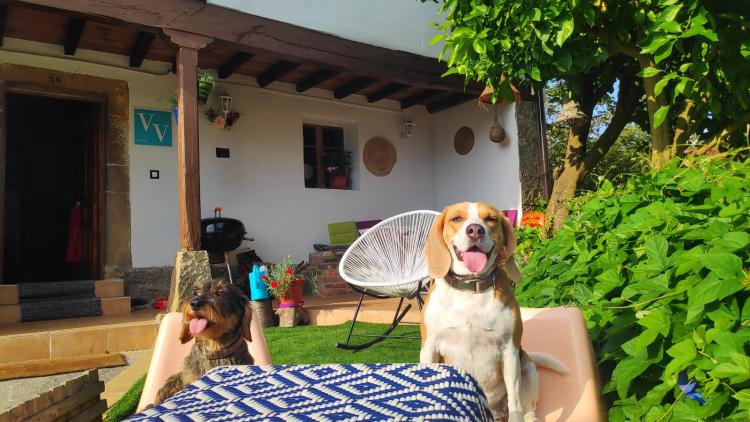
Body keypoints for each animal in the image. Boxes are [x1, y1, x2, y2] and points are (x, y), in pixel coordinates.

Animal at [420, 202, 568, 422]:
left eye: (491, 219)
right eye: (456, 219)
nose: (475, 230)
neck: (471, 289)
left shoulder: (509, 351)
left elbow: (514, 402)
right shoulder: (429, 347)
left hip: (528, 368)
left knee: (528, 408)